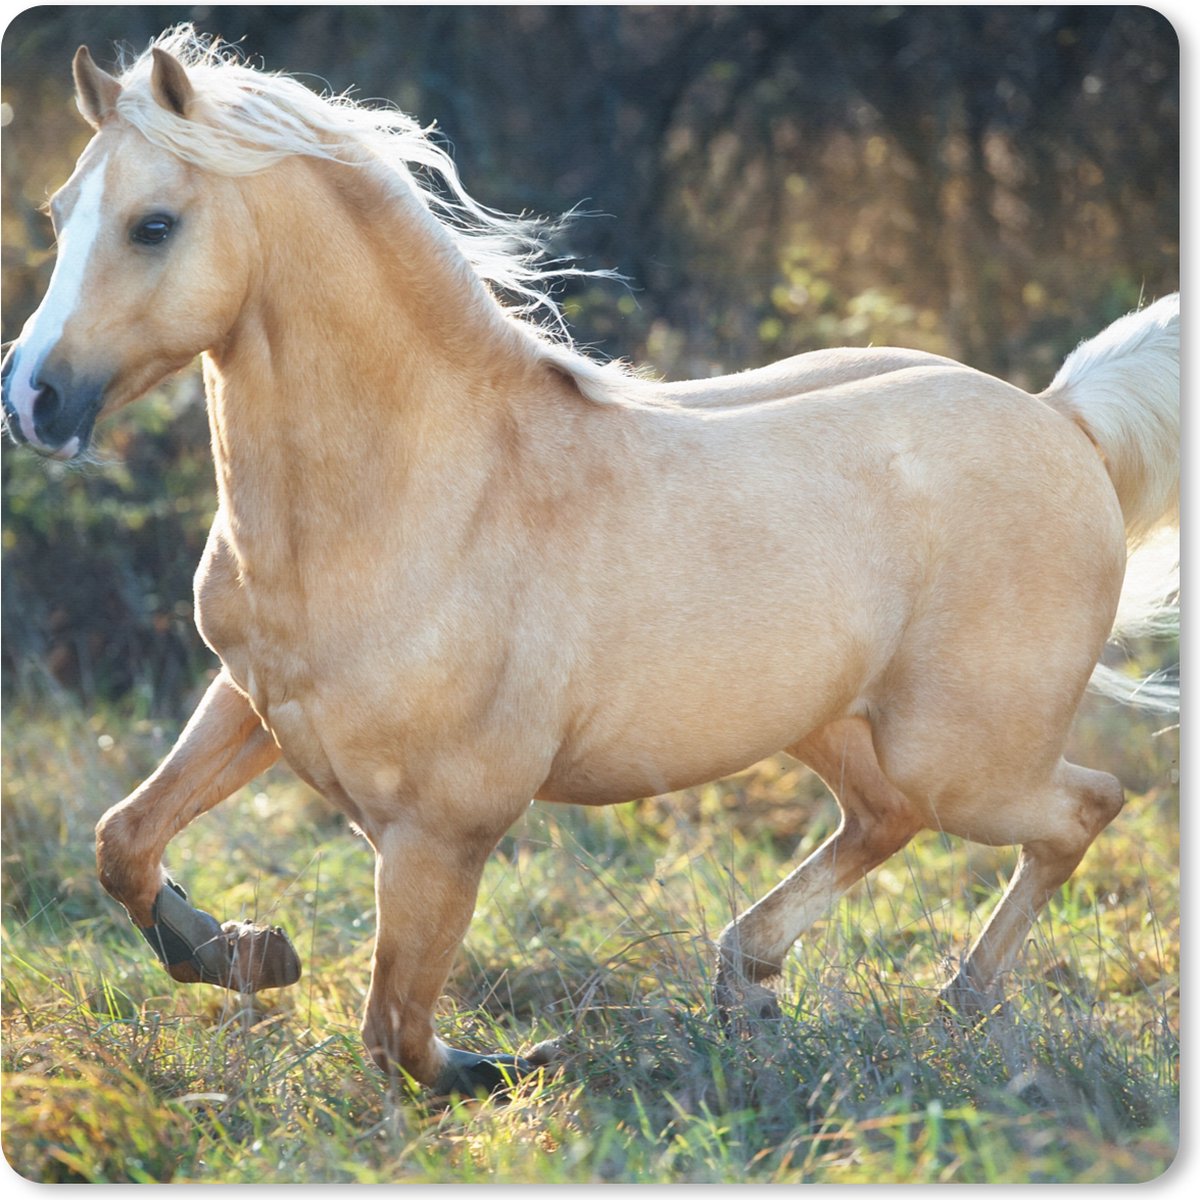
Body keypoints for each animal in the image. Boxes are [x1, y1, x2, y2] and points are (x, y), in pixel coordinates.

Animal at [1, 28, 1179, 1097]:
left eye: (154, 225)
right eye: (59, 214)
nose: (31, 400)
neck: (418, 496)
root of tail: (1062, 420)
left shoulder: (443, 827)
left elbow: (398, 1037)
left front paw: (506, 1064)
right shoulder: (252, 702)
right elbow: (123, 840)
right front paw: (240, 948)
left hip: (963, 755)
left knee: (1083, 806)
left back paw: (961, 1003)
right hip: (830, 723)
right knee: (890, 817)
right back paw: (751, 981)